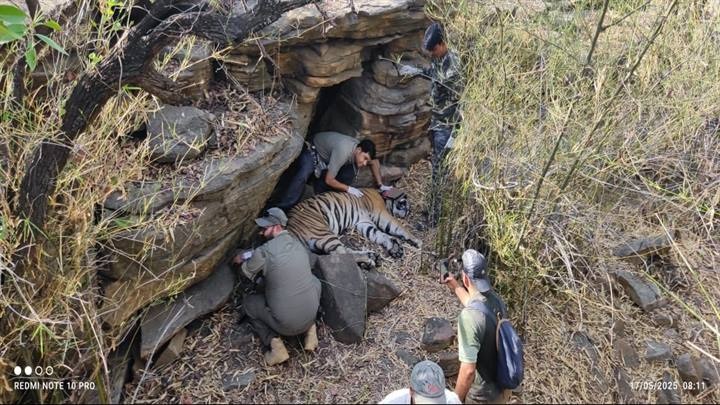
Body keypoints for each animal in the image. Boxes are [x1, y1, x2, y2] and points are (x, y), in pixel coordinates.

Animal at [286, 188, 422, 267]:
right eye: (404, 205)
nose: (408, 212)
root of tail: (289, 228)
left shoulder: (363, 223)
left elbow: (379, 234)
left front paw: (394, 247)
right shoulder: (381, 213)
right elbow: (399, 228)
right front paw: (417, 240)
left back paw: (371, 256)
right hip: (322, 232)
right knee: (341, 253)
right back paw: (369, 259)